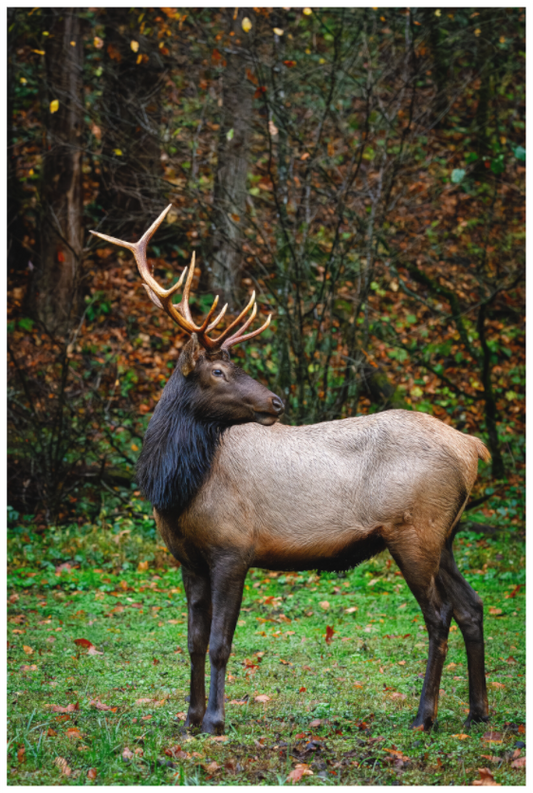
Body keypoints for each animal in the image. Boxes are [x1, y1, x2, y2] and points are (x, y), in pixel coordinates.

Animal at [90, 205, 490, 736]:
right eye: (219, 371)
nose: (276, 402)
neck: (176, 490)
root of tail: (472, 447)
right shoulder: (188, 561)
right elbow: (193, 641)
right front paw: (189, 719)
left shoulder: (234, 548)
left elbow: (220, 643)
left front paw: (214, 720)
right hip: (445, 535)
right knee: (471, 606)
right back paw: (477, 710)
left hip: (414, 531)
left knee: (440, 614)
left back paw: (425, 716)